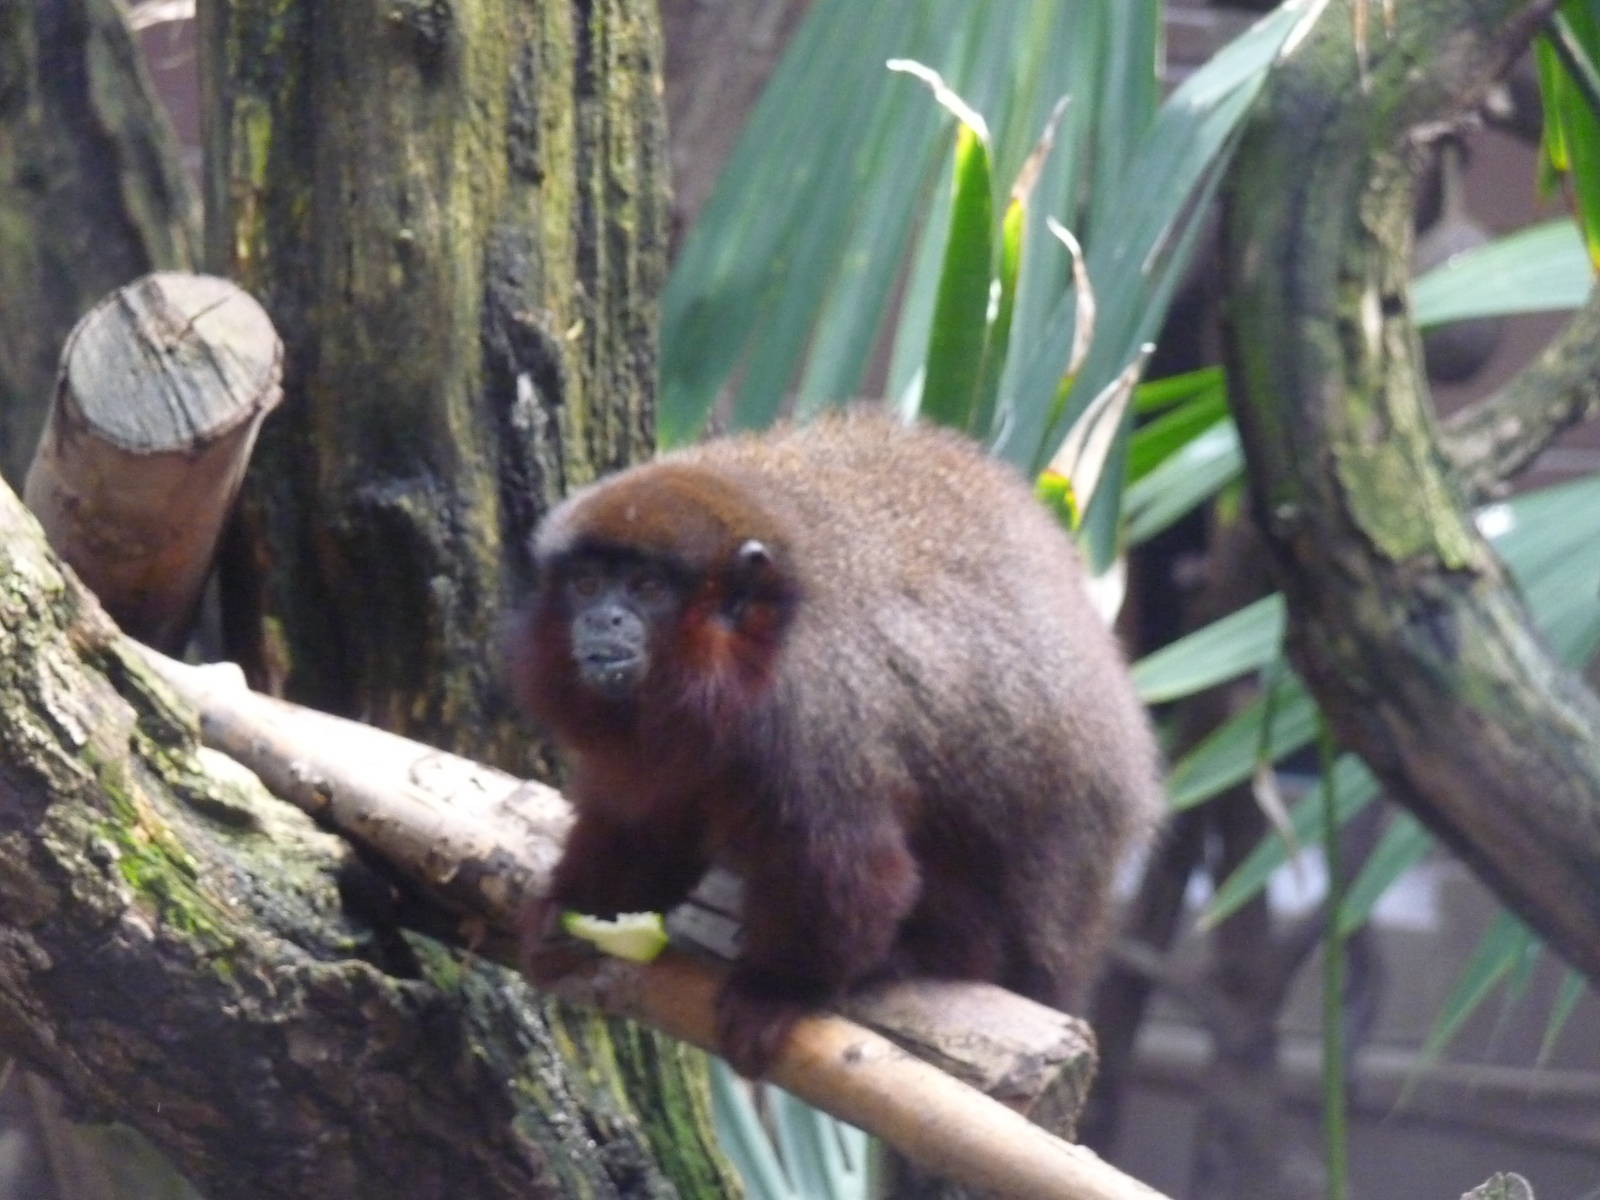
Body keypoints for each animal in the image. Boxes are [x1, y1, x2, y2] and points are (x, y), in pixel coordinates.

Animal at [511, 409, 1164, 1077]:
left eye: (645, 587)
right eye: (587, 584)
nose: (604, 620)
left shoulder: (811, 719)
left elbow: (851, 871)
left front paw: (780, 991)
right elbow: (648, 824)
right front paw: (576, 907)